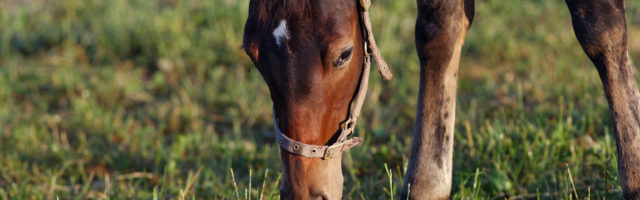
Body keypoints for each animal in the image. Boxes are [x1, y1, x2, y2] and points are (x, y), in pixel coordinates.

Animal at [242, 0, 640, 198]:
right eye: (251, 52)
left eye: (344, 55)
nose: (305, 193)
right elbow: (439, 28)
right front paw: (427, 184)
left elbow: (601, 28)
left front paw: (635, 175)